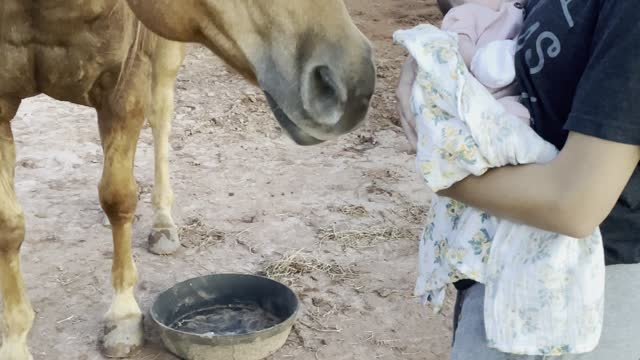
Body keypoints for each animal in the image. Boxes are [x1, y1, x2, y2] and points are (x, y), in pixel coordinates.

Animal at [0, 1, 378, 358]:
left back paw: (163, 224)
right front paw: (15, 341)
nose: (354, 85)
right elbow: (10, 228)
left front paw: (123, 315)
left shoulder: (124, 88)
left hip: (165, 55)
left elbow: (118, 197)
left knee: (161, 116)